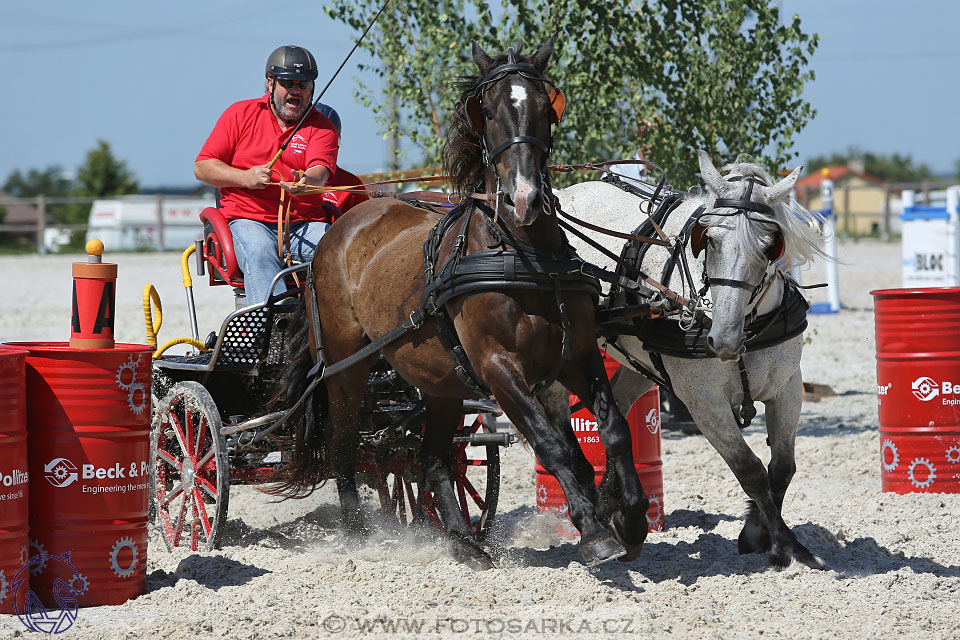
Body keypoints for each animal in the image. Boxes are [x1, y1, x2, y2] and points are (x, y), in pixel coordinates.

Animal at [266, 38, 648, 568]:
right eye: (487, 110)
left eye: (545, 107)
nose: (524, 199)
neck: (523, 254)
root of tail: (336, 232)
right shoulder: (498, 369)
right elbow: (552, 446)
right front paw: (594, 532)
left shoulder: (579, 354)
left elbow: (613, 430)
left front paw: (630, 520)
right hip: (346, 365)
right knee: (341, 444)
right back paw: (359, 534)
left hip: (438, 379)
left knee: (430, 456)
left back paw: (462, 541)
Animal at [556, 151, 832, 568]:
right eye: (710, 240)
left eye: (771, 244)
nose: (725, 339)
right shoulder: (705, 405)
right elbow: (750, 470)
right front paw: (787, 544)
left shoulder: (787, 389)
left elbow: (782, 467)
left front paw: (757, 532)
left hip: (640, 362)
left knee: (618, 408)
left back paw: (614, 508)